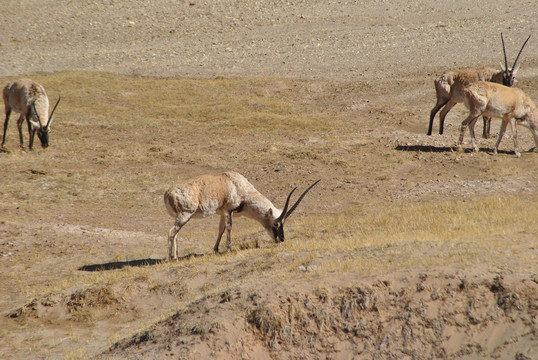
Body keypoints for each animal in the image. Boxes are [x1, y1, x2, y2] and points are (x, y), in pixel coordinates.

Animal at [163, 171, 318, 258]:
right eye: (275, 223)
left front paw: (216, 249)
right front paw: (229, 249)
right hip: (184, 215)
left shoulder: (222, 213)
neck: (239, 187)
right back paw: (170, 259)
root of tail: (168, 193)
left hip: (181, 217)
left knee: (175, 234)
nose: (281, 239)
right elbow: (229, 227)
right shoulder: (228, 211)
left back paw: (176, 257)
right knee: (171, 232)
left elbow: (221, 229)